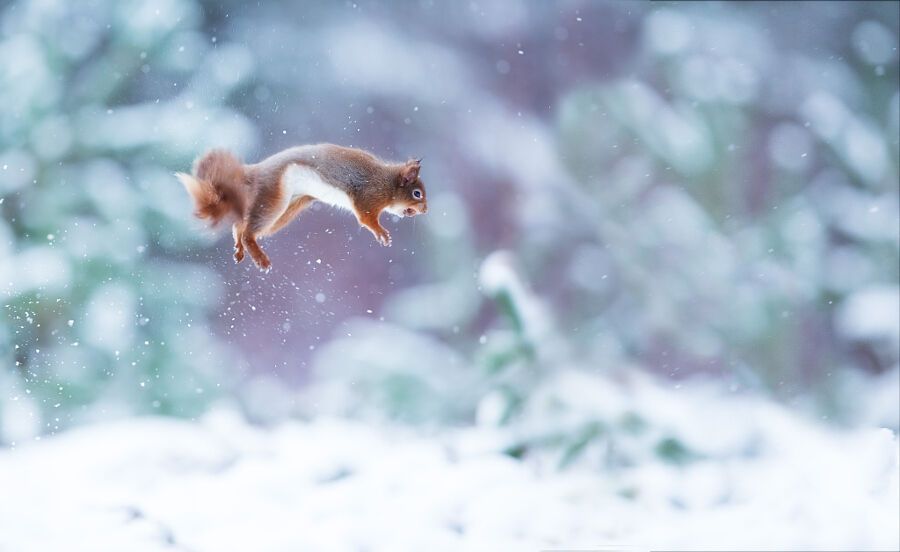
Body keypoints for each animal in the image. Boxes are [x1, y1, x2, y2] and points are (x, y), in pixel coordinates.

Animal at [178, 143, 428, 270]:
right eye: (416, 194)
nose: (426, 210)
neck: (387, 183)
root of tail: (256, 171)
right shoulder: (368, 197)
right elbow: (366, 219)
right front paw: (382, 234)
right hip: (275, 199)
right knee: (249, 231)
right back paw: (259, 257)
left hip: (290, 207)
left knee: (241, 225)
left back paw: (239, 248)